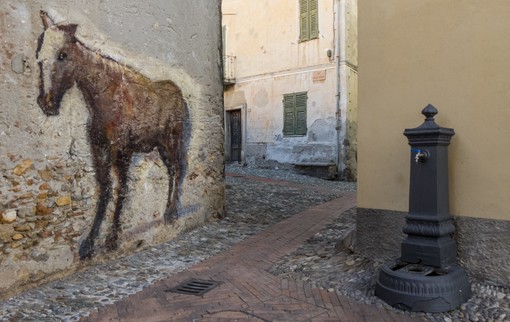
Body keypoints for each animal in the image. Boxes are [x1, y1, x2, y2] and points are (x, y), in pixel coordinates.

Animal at [35, 11, 190, 260]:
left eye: (63, 55)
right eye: (39, 56)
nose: (46, 103)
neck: (104, 100)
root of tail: (179, 92)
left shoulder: (122, 152)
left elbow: (121, 189)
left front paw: (112, 238)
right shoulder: (99, 149)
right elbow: (105, 189)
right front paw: (89, 243)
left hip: (171, 142)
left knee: (177, 169)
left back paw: (171, 214)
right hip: (160, 146)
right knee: (172, 171)